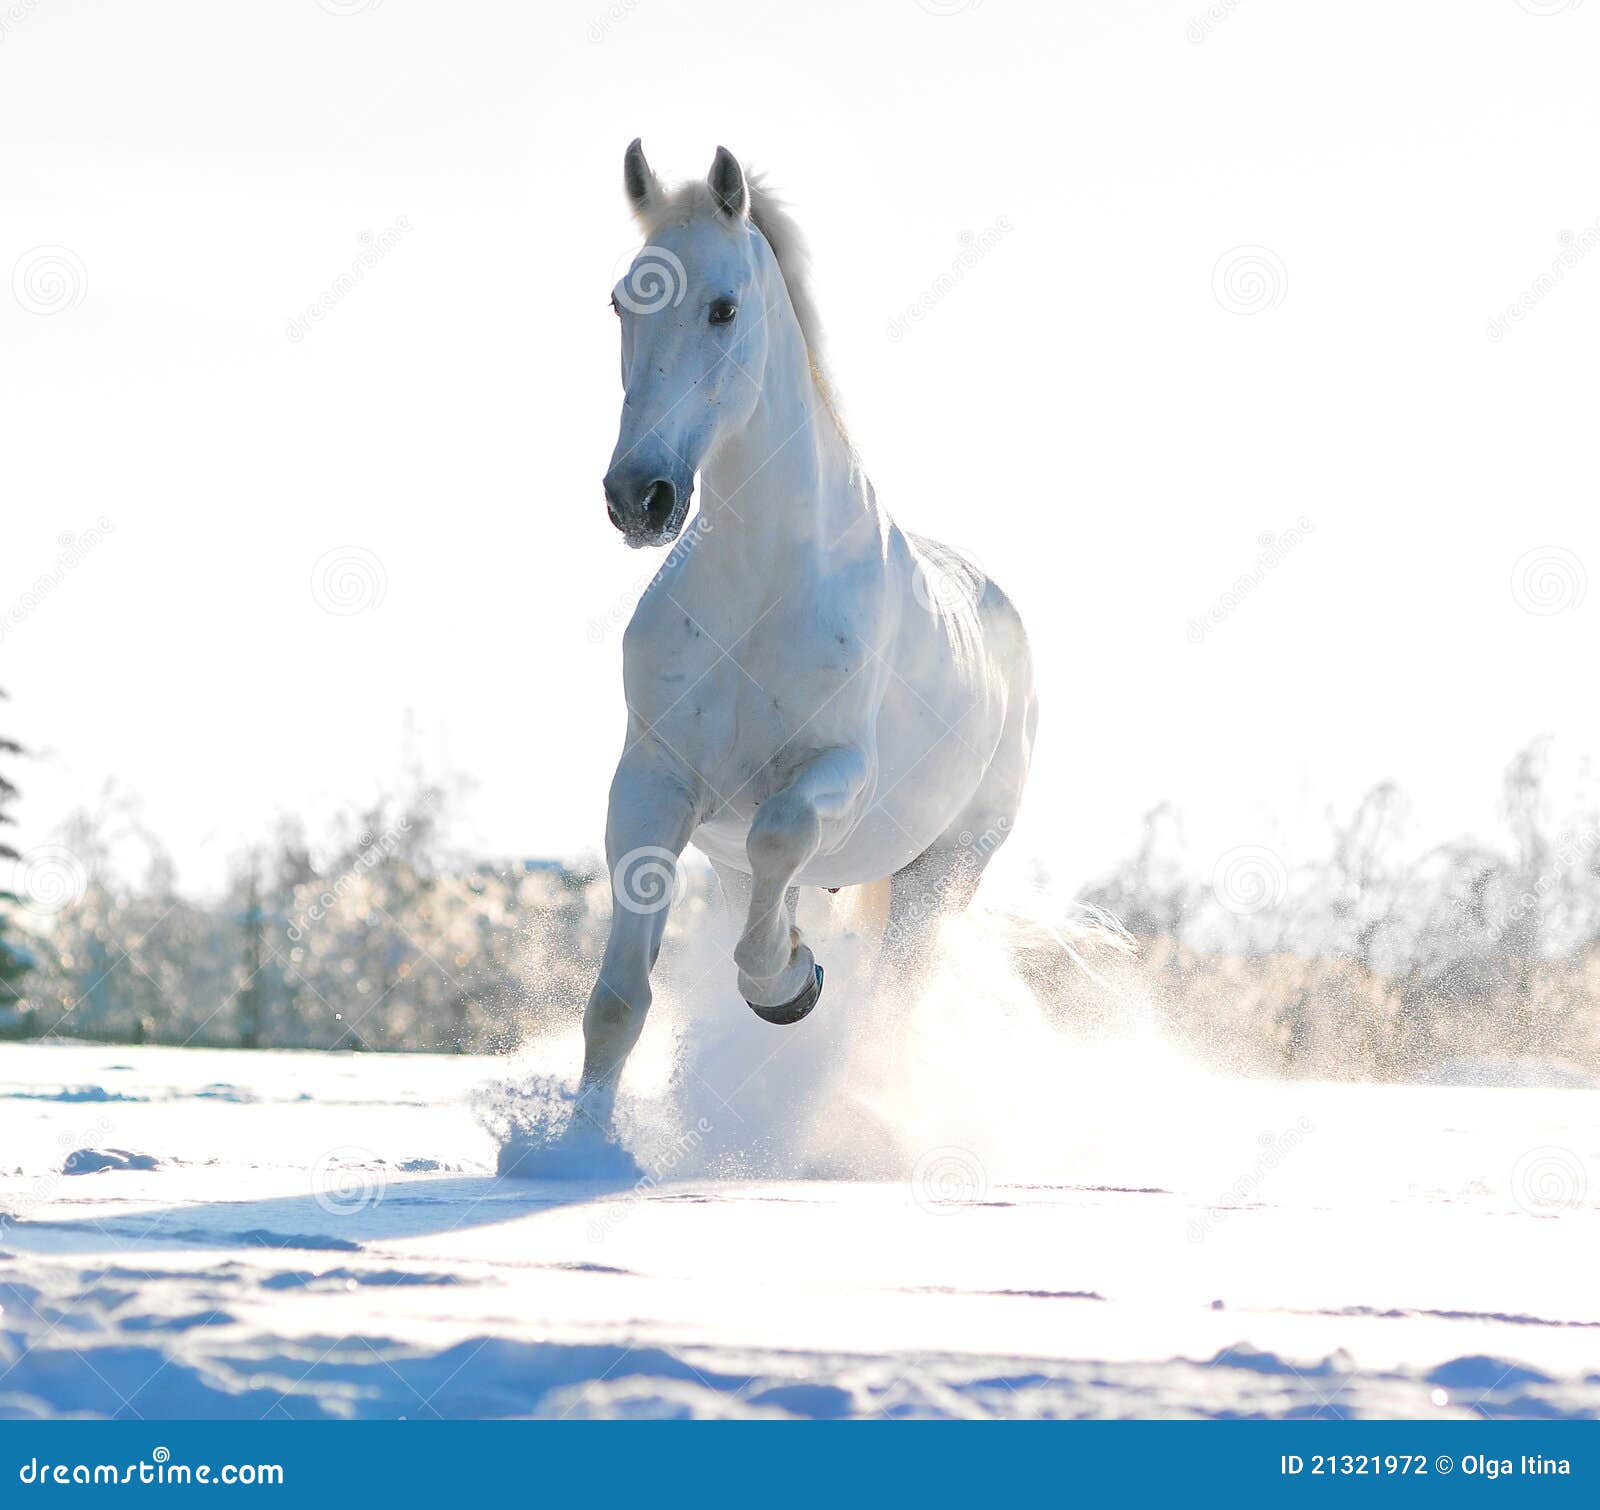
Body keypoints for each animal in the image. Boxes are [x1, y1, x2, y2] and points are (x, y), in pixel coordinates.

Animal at [560, 144, 1036, 1158]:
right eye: (621, 302)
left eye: (724, 306)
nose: (639, 496)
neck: (762, 590)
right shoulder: (650, 785)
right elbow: (619, 1001)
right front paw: (570, 1156)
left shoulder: (835, 773)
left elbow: (779, 838)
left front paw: (787, 986)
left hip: (942, 876)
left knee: (885, 1011)